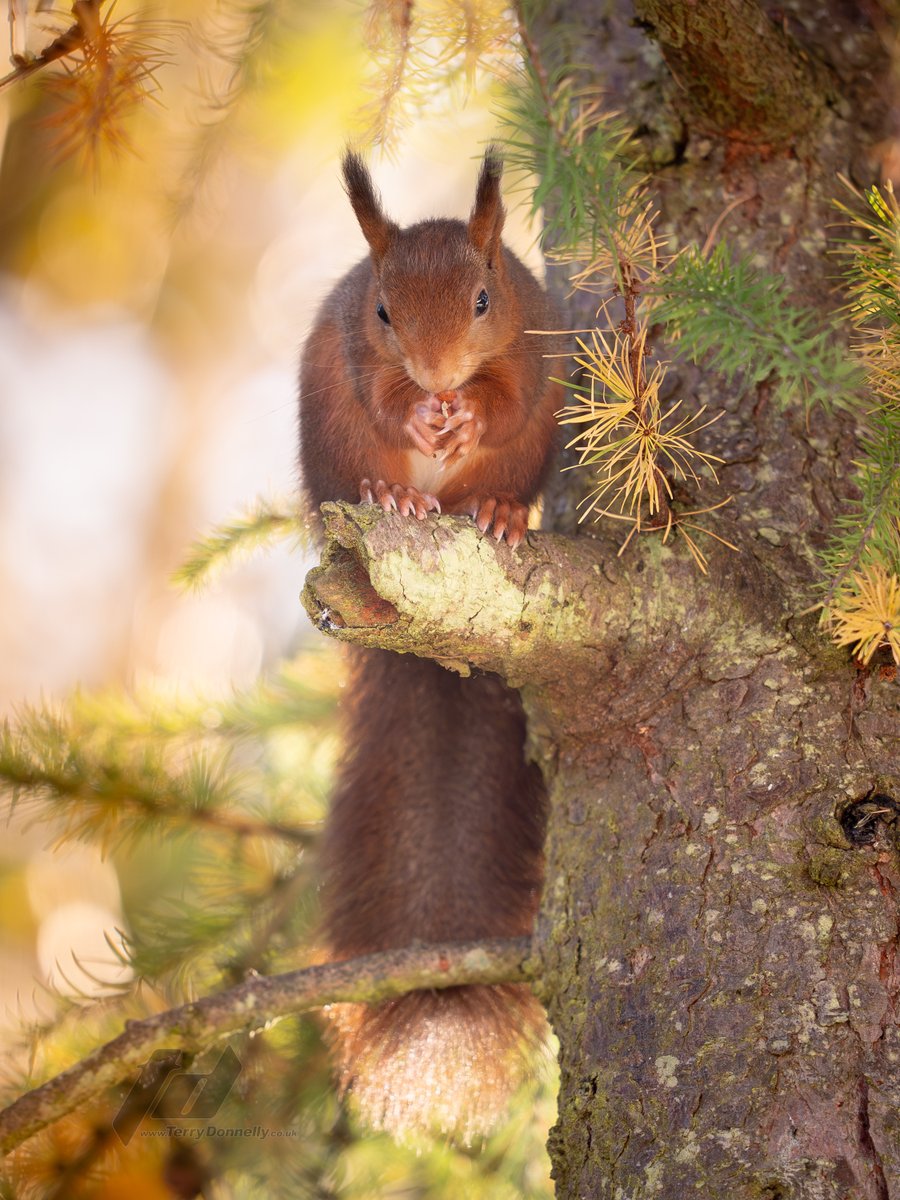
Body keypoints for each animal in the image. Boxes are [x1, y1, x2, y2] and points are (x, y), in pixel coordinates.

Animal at [298, 147, 562, 1141]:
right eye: (382, 310)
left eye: (484, 298)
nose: (438, 372)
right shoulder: (353, 353)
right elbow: (381, 395)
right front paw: (418, 418)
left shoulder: (531, 348)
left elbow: (509, 398)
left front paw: (467, 416)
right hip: (328, 455)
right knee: (364, 472)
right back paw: (400, 495)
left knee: (499, 478)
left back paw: (490, 510)